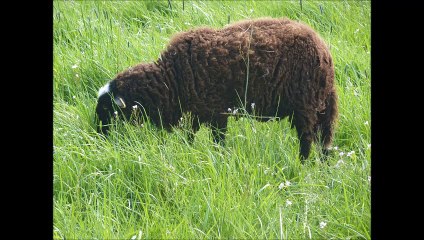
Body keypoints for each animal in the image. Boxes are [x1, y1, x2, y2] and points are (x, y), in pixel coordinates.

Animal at [96, 17, 338, 161]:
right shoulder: (196, 113)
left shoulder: (217, 112)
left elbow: (218, 140)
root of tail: (323, 51)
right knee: (322, 136)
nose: (99, 139)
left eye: (108, 111)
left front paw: (218, 158)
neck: (171, 79)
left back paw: (302, 164)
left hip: (305, 105)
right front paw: (189, 152)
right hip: (317, 106)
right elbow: (190, 136)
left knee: (307, 139)